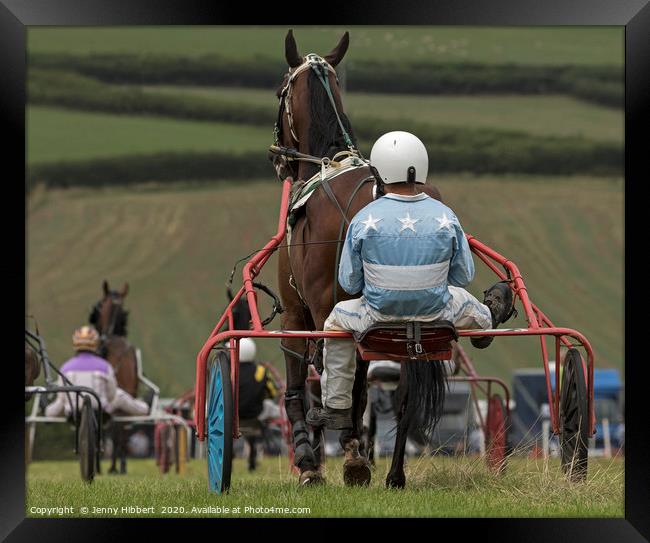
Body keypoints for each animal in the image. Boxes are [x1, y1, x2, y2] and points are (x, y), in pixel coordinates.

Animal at [272, 30, 446, 488]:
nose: (277, 157)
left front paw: (310, 461)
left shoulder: (298, 313)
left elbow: (300, 386)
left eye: (279, 91)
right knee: (403, 394)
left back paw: (350, 456)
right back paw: (394, 472)